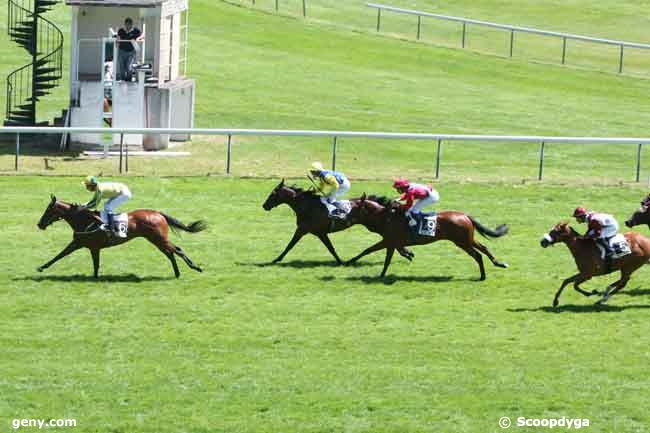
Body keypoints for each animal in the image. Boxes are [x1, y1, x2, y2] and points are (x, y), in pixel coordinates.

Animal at [38, 194, 205, 276]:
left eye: (48, 210)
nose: (39, 224)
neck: (85, 220)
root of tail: (158, 213)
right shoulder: (82, 244)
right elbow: (61, 255)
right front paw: (41, 267)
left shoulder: (90, 246)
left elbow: (91, 263)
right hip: (156, 240)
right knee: (170, 252)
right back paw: (177, 273)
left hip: (158, 238)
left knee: (177, 250)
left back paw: (195, 267)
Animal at [264, 179, 416, 264]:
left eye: (272, 194)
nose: (264, 206)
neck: (308, 206)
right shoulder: (316, 232)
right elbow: (329, 248)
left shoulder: (306, 230)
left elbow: (290, 245)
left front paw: (276, 259)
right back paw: (407, 253)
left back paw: (406, 253)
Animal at [342, 194, 508, 278]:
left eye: (353, 208)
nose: (344, 219)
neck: (386, 216)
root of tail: (465, 215)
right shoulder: (392, 242)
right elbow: (380, 252)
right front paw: (409, 254)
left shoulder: (389, 241)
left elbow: (377, 255)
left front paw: (380, 274)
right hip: (468, 239)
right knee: (484, 248)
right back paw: (499, 263)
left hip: (462, 242)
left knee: (478, 255)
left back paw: (483, 276)